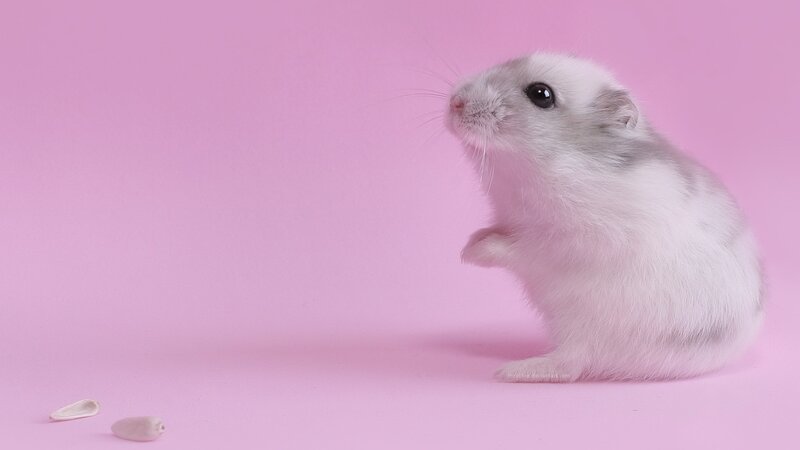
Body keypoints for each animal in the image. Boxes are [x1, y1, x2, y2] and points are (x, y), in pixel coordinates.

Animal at [445, 53, 763, 382]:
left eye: (541, 94)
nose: (455, 102)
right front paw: (468, 243)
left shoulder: (567, 241)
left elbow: (518, 248)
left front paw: (470, 254)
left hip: (586, 329)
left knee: (570, 365)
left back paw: (510, 371)